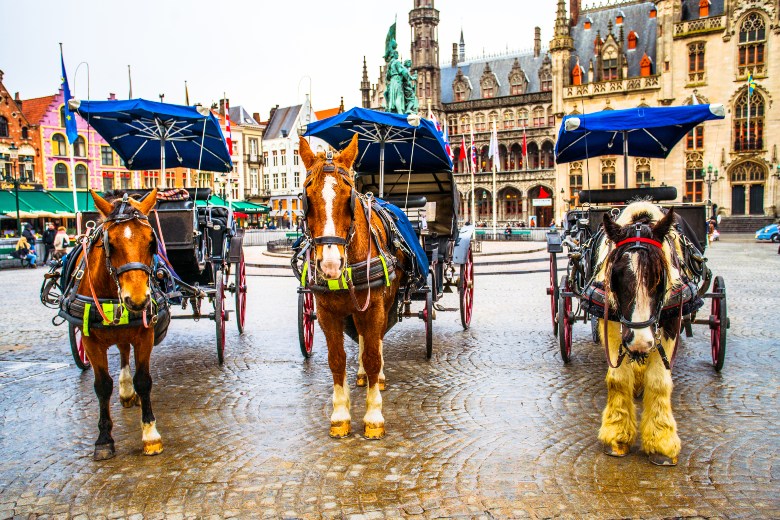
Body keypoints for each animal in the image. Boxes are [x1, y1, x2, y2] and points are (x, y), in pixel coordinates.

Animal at [300, 134, 408, 438]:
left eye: (348, 197)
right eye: (307, 198)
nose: (330, 264)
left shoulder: (374, 308)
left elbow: (373, 354)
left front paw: (373, 416)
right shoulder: (327, 314)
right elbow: (337, 359)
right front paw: (340, 414)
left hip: (382, 303)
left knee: (376, 339)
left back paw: (377, 377)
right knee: (360, 336)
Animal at [592, 201, 688, 466]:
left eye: (659, 277)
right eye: (615, 275)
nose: (640, 342)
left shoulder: (669, 322)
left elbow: (659, 380)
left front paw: (662, 441)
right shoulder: (611, 321)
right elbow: (617, 378)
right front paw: (616, 434)